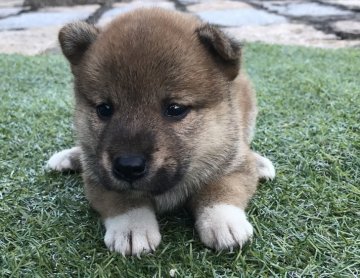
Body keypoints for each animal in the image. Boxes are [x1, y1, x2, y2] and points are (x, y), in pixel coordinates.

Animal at [46, 7, 274, 256]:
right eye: (104, 109)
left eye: (175, 109)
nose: (128, 166)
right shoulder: (97, 177)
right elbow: (122, 198)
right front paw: (132, 226)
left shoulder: (233, 165)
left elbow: (220, 188)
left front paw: (223, 221)